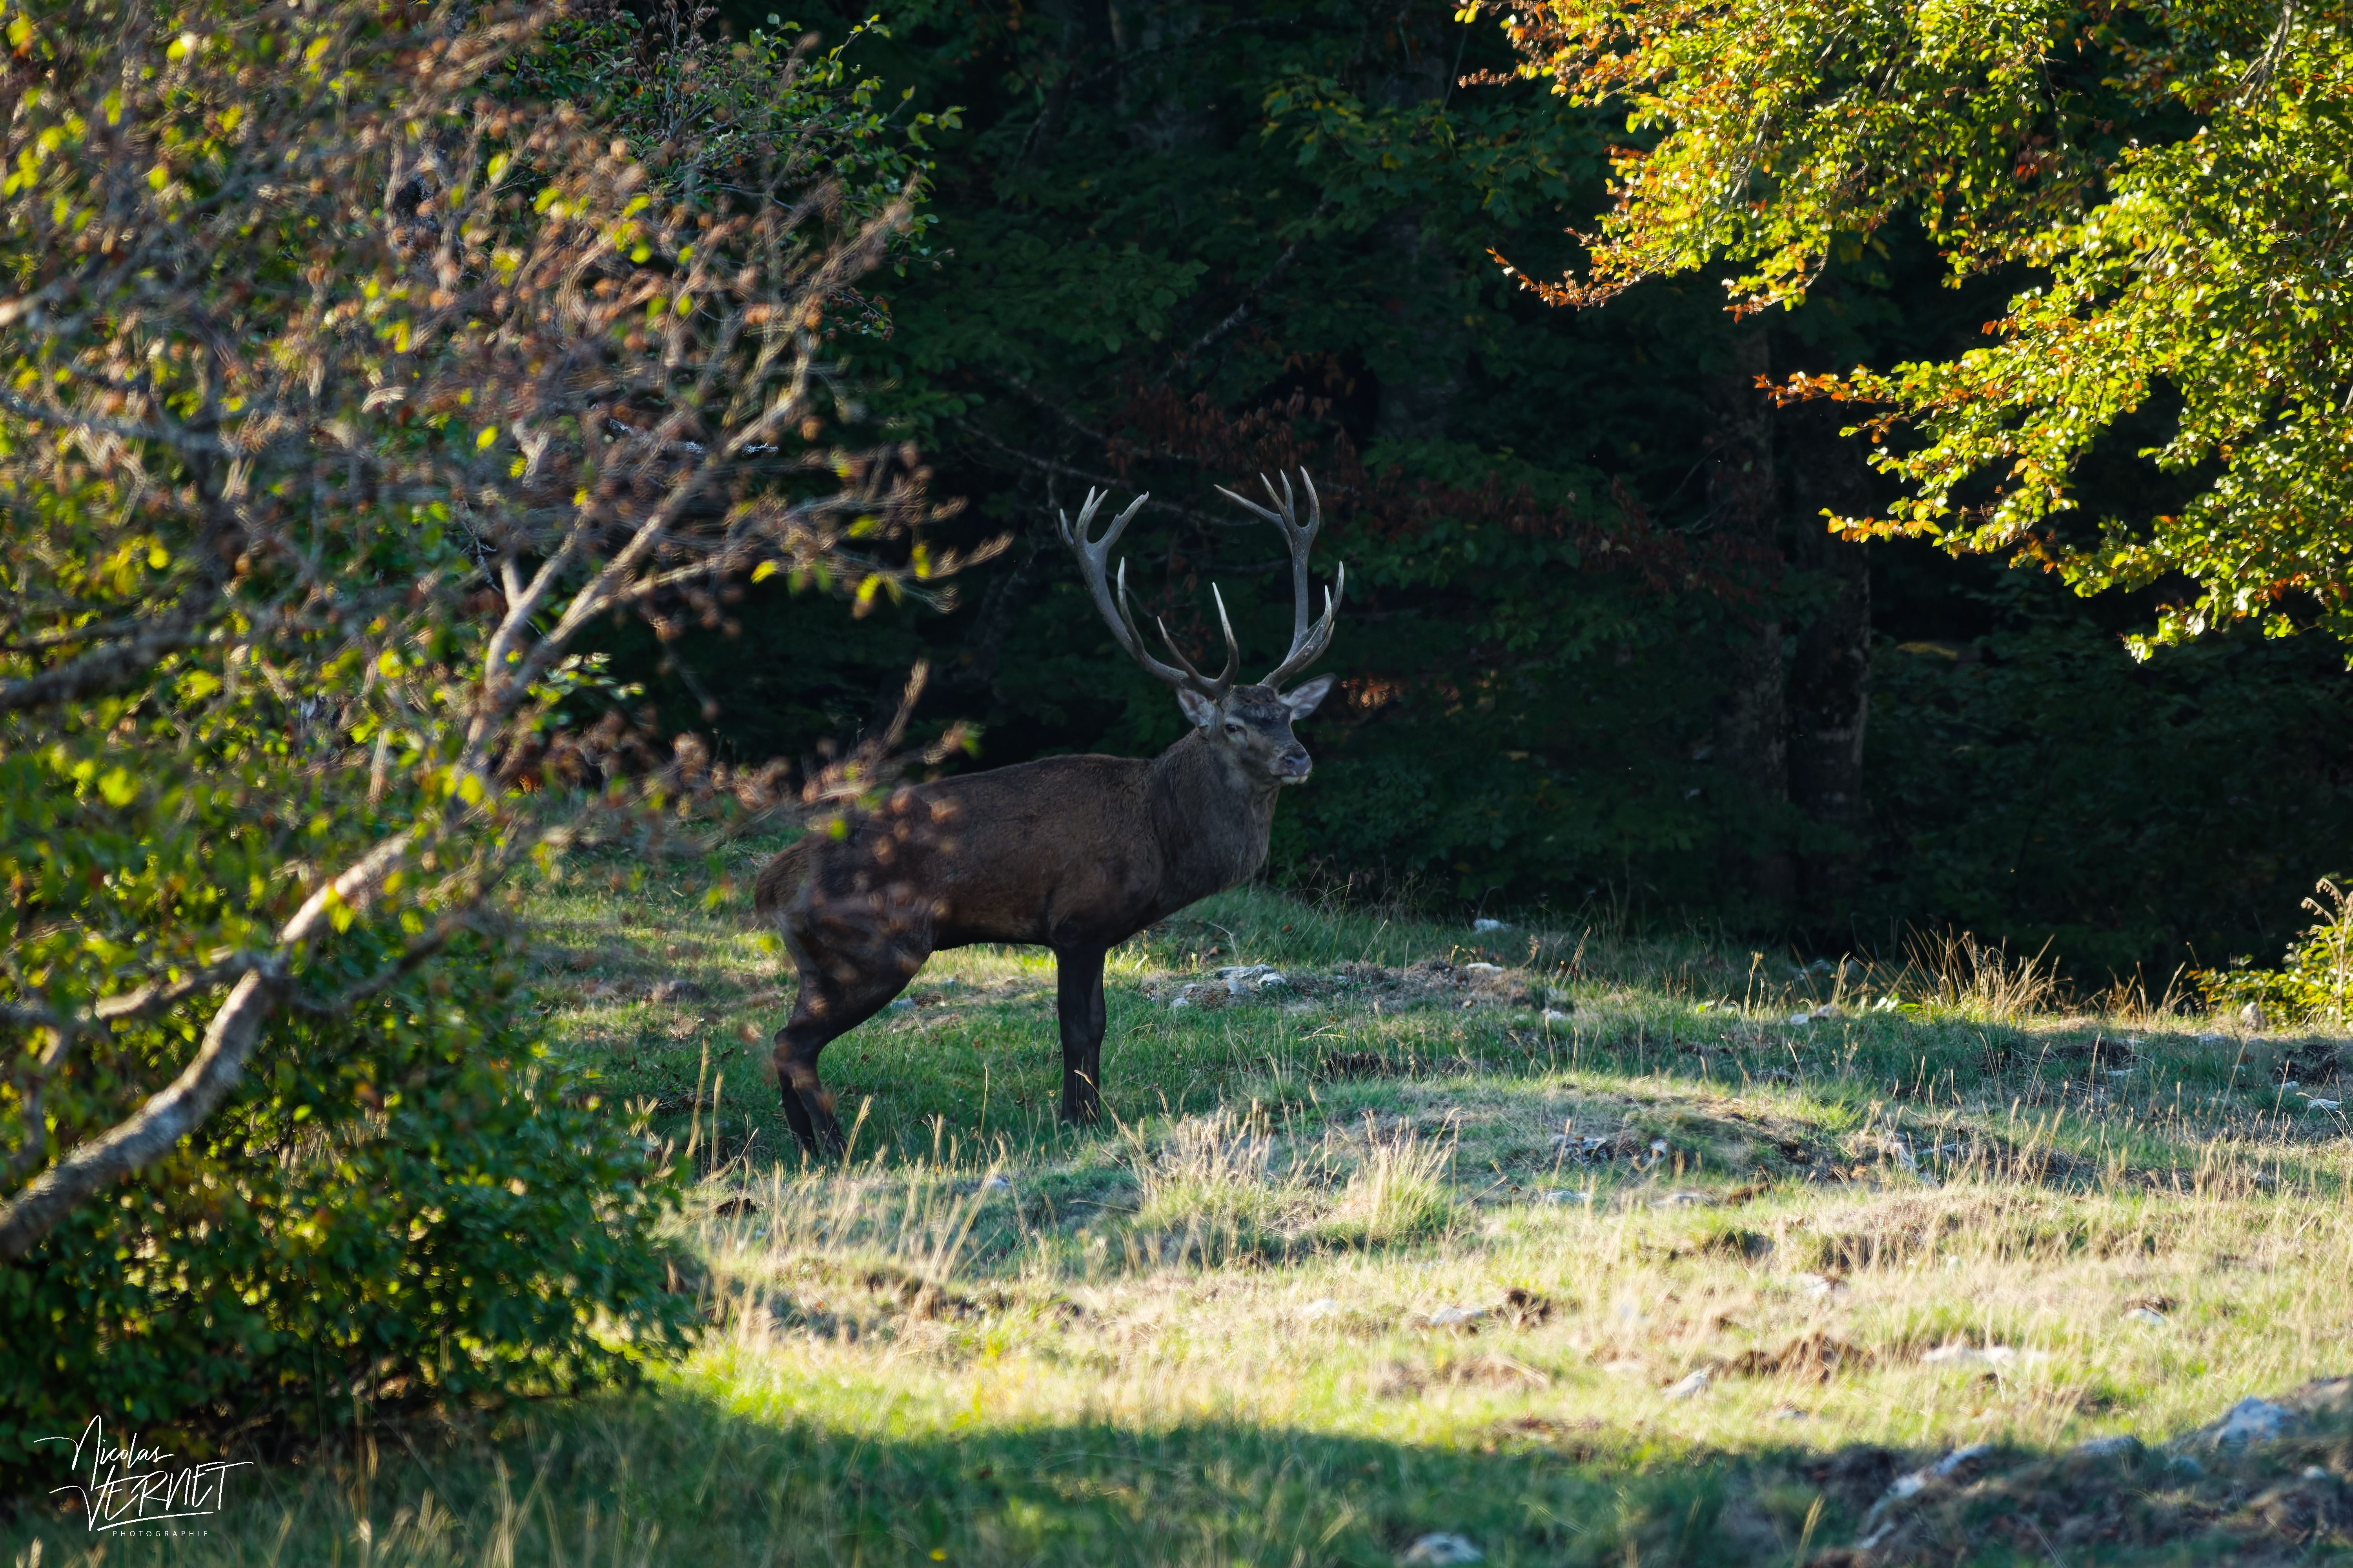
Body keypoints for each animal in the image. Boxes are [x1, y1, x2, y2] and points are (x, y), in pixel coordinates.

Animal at [752, 470, 1344, 1158]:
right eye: (1233, 725)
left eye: (1287, 715)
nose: (1297, 757)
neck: (1162, 837)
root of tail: (773, 881)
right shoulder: (1077, 921)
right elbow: (1080, 1027)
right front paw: (1078, 1120)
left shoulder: (1097, 931)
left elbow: (1096, 1025)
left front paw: (1088, 1113)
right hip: (876, 946)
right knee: (793, 1043)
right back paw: (837, 1145)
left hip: (819, 961)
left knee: (783, 1037)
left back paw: (804, 1145)